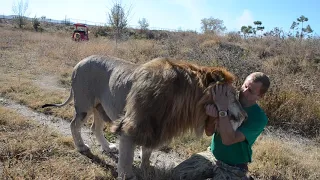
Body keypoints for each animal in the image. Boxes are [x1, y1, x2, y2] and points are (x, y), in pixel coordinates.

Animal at [42, 54, 246, 179]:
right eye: (234, 95)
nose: (244, 116)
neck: (181, 99)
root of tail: (79, 63)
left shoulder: (157, 127)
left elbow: (147, 152)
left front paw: (147, 169)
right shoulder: (129, 126)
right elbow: (126, 160)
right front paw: (128, 174)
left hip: (99, 107)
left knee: (95, 128)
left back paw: (108, 147)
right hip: (84, 105)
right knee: (74, 125)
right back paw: (82, 147)